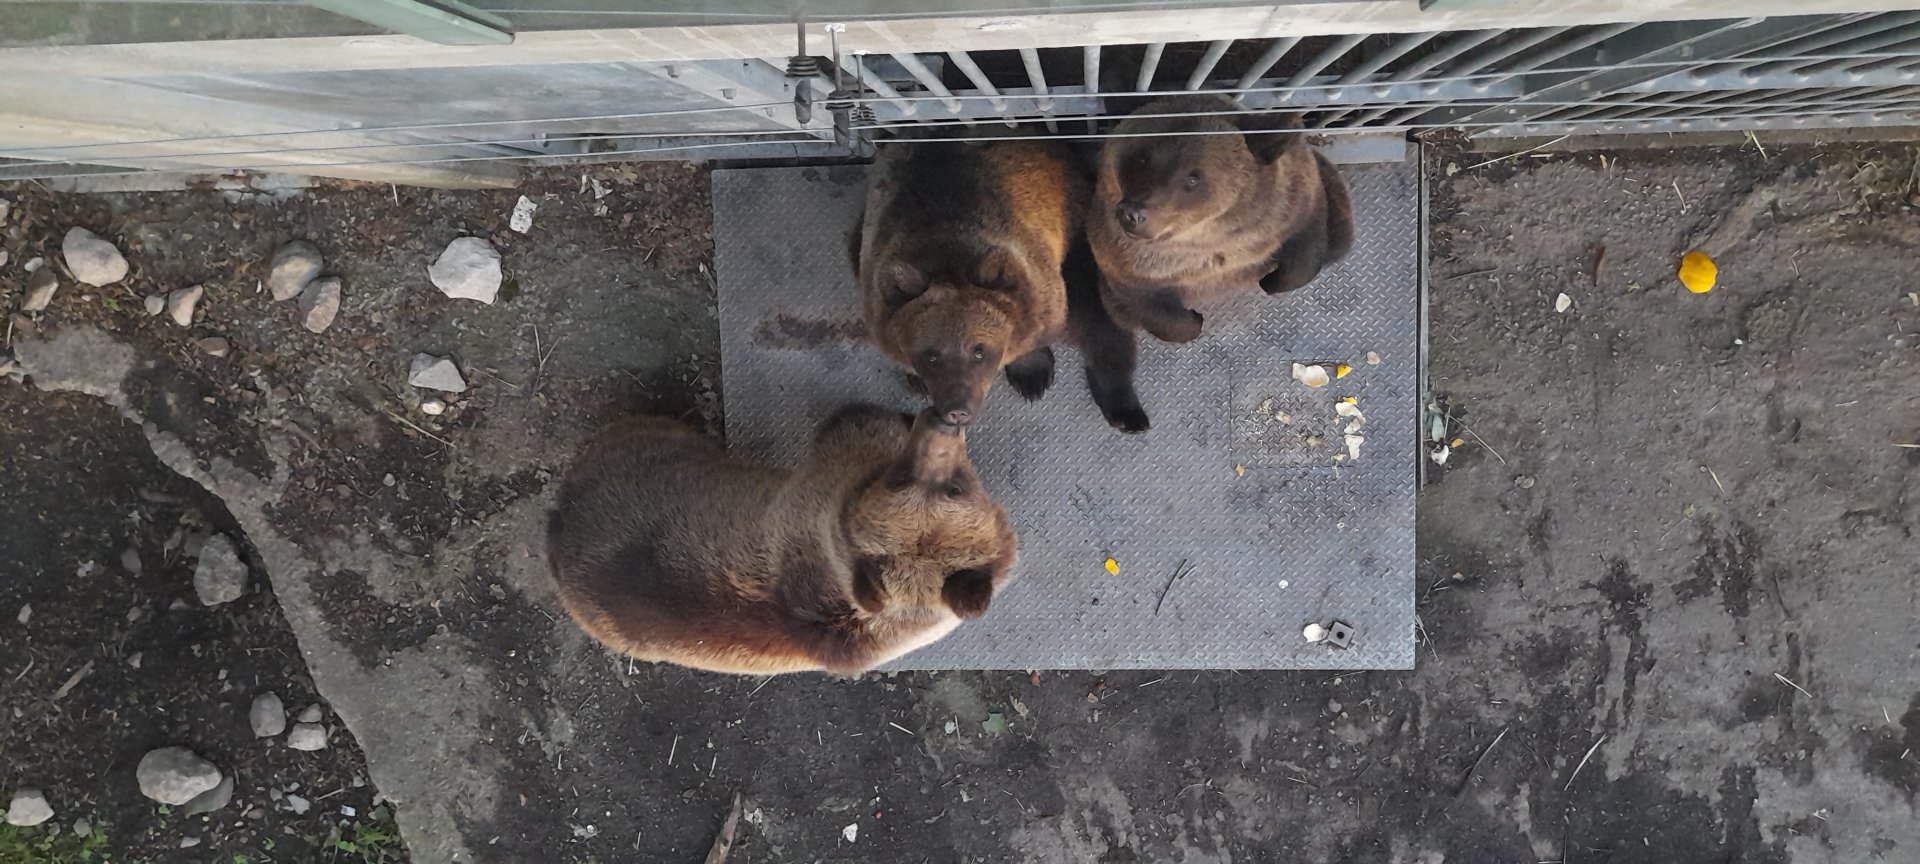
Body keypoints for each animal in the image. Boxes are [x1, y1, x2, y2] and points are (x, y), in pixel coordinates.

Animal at [852, 136, 1149, 432]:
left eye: (979, 351)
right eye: (931, 355)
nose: (958, 409)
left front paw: (1032, 376)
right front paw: (916, 378)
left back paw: (1126, 410)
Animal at [1089, 94, 1354, 346]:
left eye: (1193, 177)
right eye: (1141, 158)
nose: (1132, 213)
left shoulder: (1288, 207)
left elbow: (1305, 249)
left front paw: (1272, 280)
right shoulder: (1128, 263)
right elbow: (1148, 305)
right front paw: (1192, 322)